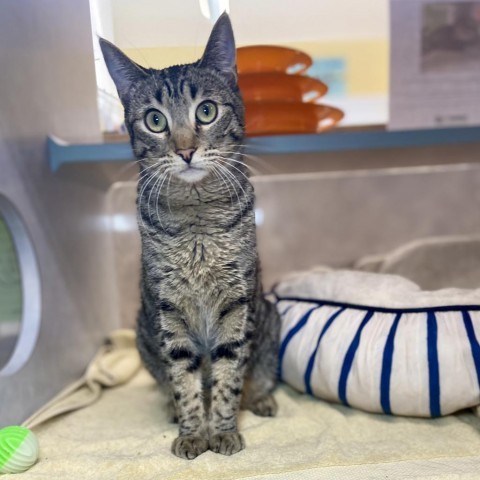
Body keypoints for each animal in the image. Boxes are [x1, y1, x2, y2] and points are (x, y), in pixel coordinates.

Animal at [100, 13, 282, 460]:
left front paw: (224, 430)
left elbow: (228, 376)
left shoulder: (237, 303)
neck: (197, 219)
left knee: (259, 374)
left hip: (270, 319)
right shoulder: (169, 309)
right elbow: (184, 379)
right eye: (155, 120)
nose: (185, 150)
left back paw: (261, 399)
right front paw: (192, 432)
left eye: (207, 111)